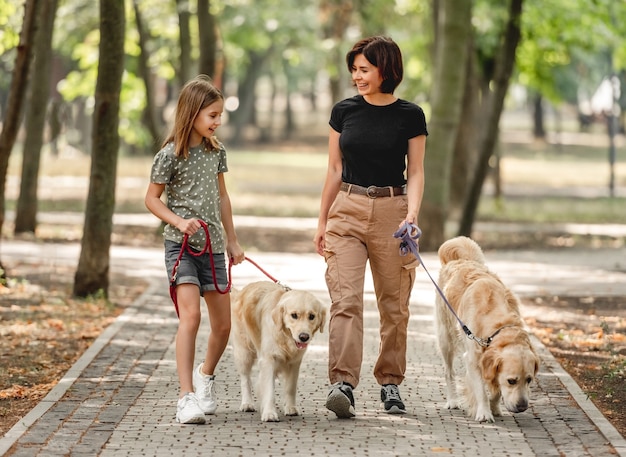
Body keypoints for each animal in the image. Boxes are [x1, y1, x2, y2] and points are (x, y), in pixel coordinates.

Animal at [229, 280, 326, 422]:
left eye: (312, 316)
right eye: (294, 315)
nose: (304, 337)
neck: (285, 337)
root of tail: (241, 291)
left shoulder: (295, 362)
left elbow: (291, 387)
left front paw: (291, 408)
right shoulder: (268, 359)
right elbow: (269, 389)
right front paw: (269, 413)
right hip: (244, 352)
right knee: (245, 378)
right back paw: (247, 403)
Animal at [432, 237, 540, 422]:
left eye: (529, 380)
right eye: (512, 381)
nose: (522, 407)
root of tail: (461, 260)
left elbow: (496, 389)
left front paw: (494, 407)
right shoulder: (472, 359)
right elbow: (481, 391)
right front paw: (484, 412)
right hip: (445, 338)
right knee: (448, 371)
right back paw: (452, 400)